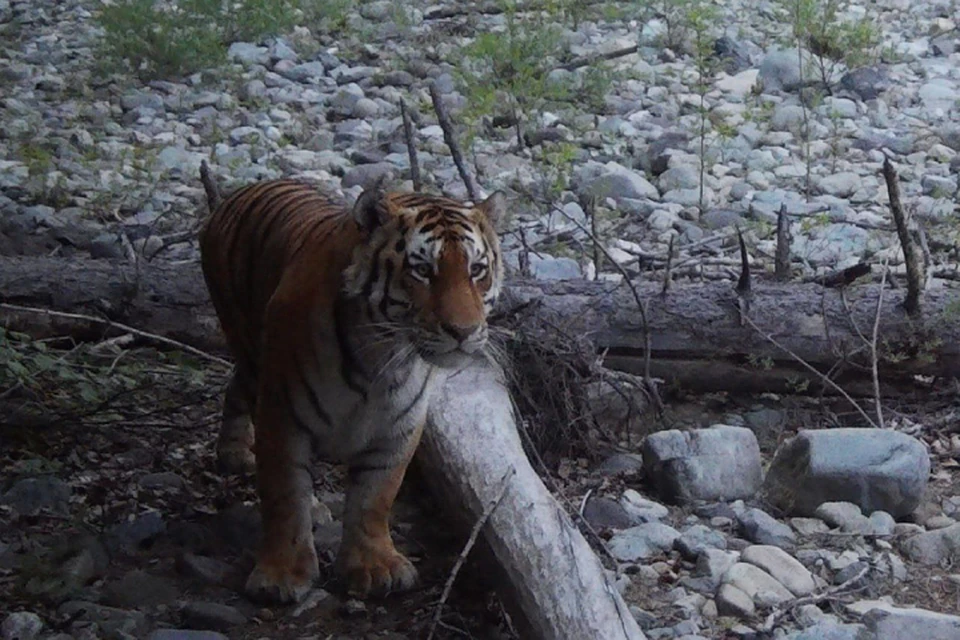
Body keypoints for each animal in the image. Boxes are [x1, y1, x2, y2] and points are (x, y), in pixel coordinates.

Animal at [198, 161, 506, 604]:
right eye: (423, 270)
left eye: (476, 270)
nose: (464, 331)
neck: (380, 360)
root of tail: (237, 193)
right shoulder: (282, 416)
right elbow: (284, 494)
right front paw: (282, 575)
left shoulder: (398, 428)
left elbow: (375, 498)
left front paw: (374, 566)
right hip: (247, 342)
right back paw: (245, 459)